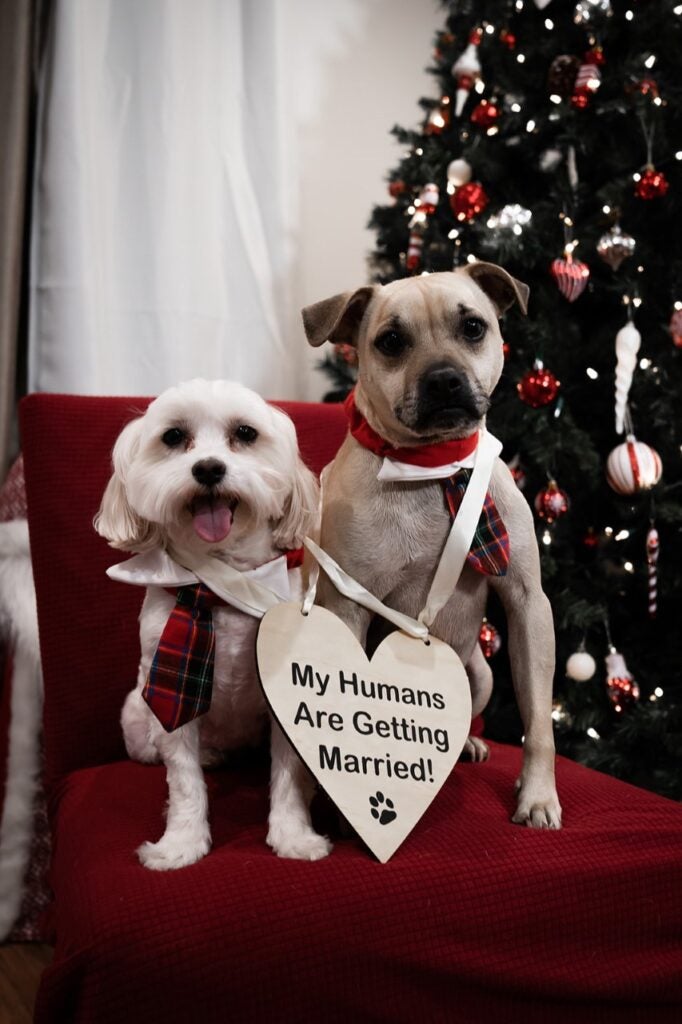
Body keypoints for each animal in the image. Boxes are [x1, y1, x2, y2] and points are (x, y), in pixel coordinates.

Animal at [93, 380, 331, 868]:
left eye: (245, 433)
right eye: (172, 437)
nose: (207, 468)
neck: (221, 588)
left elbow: (288, 776)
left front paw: (294, 836)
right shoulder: (172, 694)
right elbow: (183, 781)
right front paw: (180, 844)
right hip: (136, 718)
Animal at [303, 266, 557, 831]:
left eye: (473, 327)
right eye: (391, 341)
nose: (443, 379)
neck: (433, 465)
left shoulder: (528, 604)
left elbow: (538, 719)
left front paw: (537, 796)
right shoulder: (348, 603)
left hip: (481, 674)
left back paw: (468, 747)